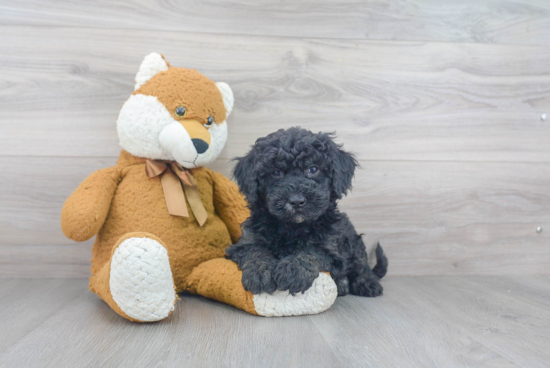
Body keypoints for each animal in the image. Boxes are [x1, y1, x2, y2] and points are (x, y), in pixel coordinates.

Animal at [224, 128, 388, 298]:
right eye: (276, 172)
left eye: (313, 169)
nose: (296, 201)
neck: (292, 227)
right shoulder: (246, 241)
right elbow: (255, 250)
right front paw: (261, 271)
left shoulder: (330, 247)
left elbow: (311, 251)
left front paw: (293, 270)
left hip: (354, 242)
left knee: (361, 265)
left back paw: (366, 282)